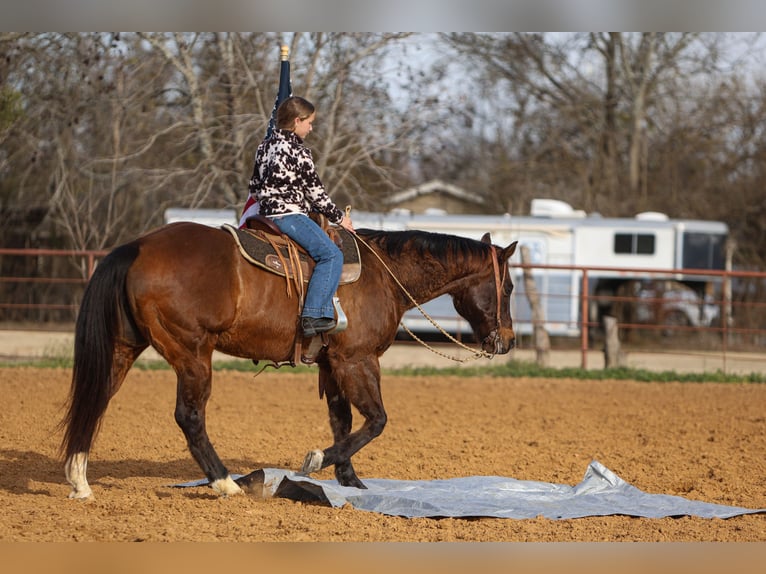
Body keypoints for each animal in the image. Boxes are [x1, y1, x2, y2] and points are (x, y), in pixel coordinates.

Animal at [60, 220, 520, 500]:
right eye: (510, 286)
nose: (509, 341)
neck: (383, 275)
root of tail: (137, 247)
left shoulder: (333, 365)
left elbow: (343, 421)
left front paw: (350, 480)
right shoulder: (357, 360)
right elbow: (376, 420)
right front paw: (317, 461)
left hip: (124, 347)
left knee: (96, 399)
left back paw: (80, 480)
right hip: (192, 353)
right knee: (189, 416)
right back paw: (226, 483)